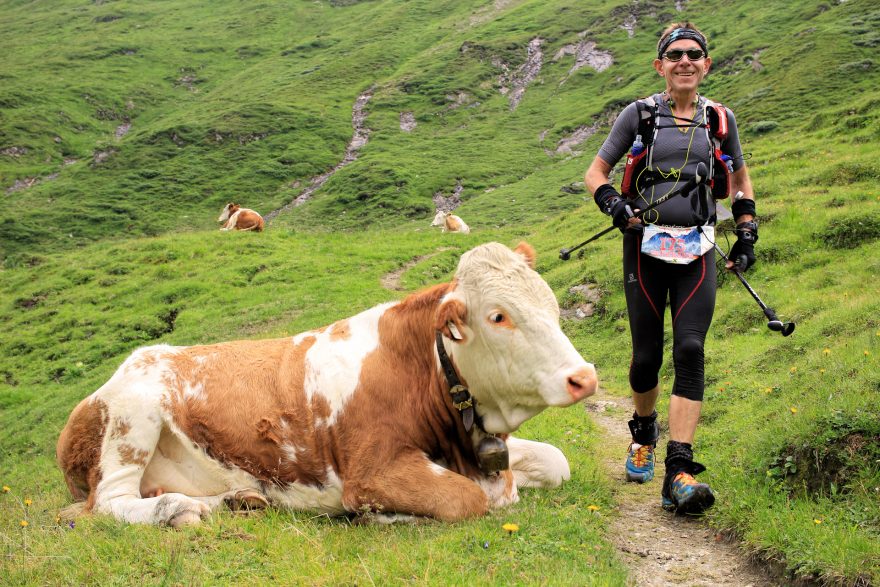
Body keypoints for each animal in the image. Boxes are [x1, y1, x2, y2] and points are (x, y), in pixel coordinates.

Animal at [56, 242, 600, 528]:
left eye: (550, 301)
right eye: (498, 316)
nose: (584, 377)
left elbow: (557, 461)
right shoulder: (371, 471)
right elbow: (466, 500)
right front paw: (383, 517)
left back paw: (234, 501)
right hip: (133, 421)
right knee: (107, 504)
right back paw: (180, 510)